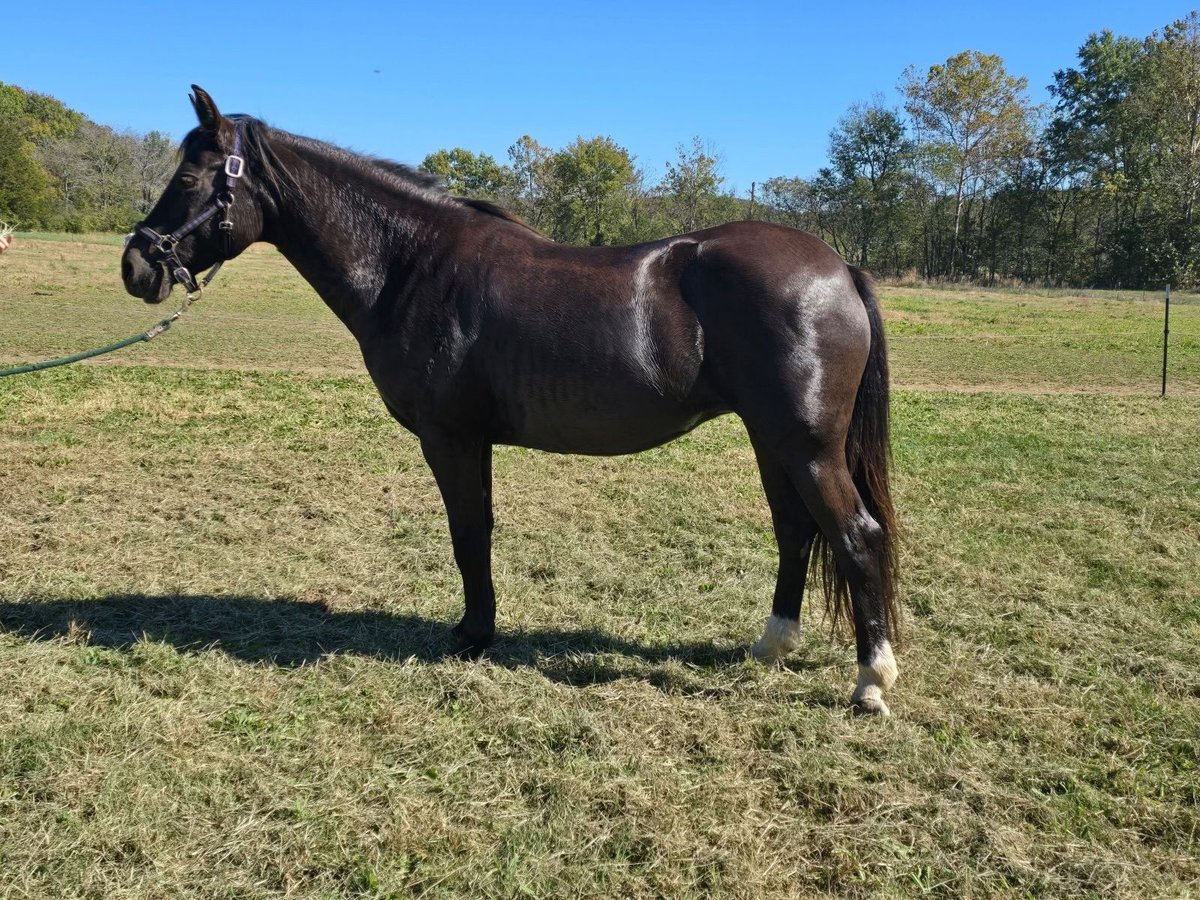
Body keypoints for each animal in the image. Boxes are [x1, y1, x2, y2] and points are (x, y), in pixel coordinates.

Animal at [121, 88, 902, 715]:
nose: (136, 265)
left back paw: (870, 683)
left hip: (805, 446)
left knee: (855, 536)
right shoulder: (472, 439)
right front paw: (480, 629)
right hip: (774, 441)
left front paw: (472, 635)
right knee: (797, 532)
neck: (410, 263)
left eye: (190, 175)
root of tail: (838, 267)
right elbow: (481, 530)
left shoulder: (451, 437)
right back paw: (771, 648)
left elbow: (469, 532)